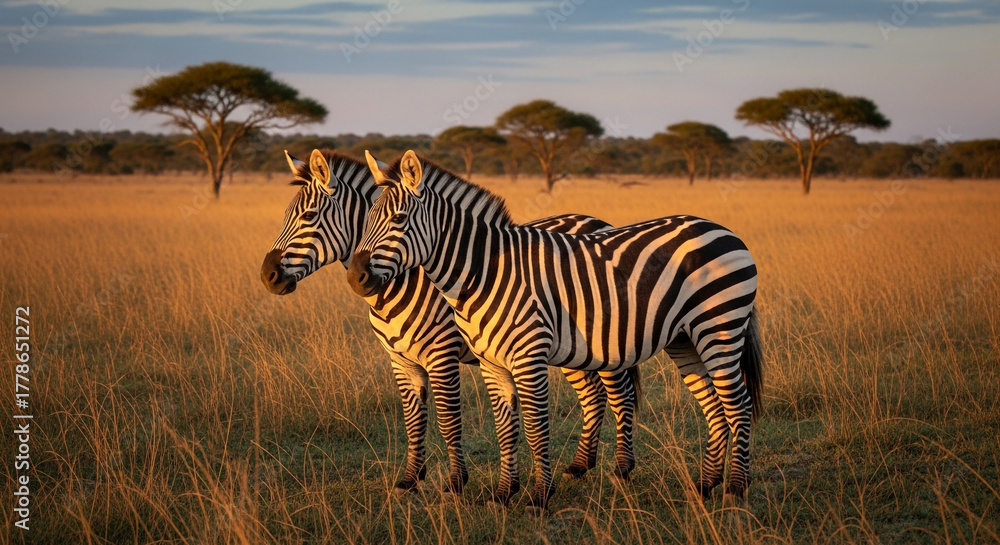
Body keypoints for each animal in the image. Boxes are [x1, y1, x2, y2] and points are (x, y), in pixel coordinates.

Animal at [260, 149, 640, 496]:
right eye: (285, 216)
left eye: (309, 216)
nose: (267, 276)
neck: (408, 278)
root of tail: (598, 221)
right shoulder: (400, 359)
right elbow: (413, 420)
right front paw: (410, 479)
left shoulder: (441, 355)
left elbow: (447, 419)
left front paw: (457, 483)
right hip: (571, 347)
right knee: (592, 394)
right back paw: (580, 466)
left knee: (619, 393)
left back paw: (621, 470)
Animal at [347, 150, 763, 513]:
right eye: (366, 220)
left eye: (400, 219)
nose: (356, 277)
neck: (483, 273)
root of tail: (721, 228)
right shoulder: (490, 363)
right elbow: (505, 428)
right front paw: (503, 495)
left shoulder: (523, 357)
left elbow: (534, 427)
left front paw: (538, 498)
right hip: (684, 340)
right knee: (713, 407)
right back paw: (704, 486)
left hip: (719, 329)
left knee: (737, 406)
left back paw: (735, 490)